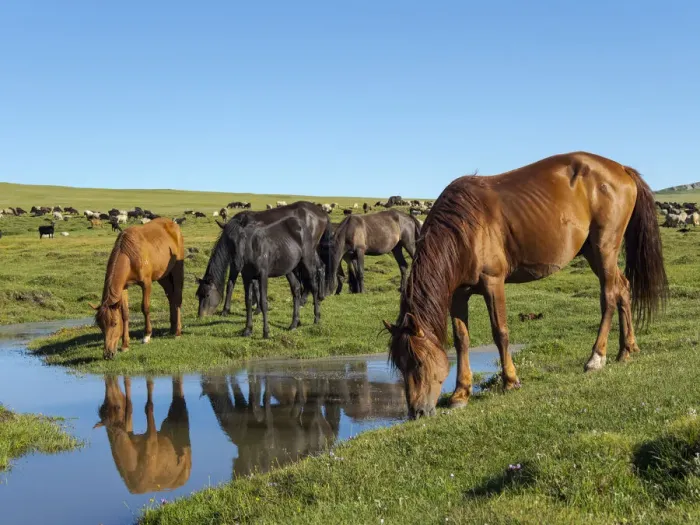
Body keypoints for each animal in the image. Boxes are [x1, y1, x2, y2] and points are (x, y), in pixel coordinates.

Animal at [90, 218, 185, 359]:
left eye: (114, 323)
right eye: (100, 325)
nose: (108, 354)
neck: (129, 256)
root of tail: (173, 224)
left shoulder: (146, 283)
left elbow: (145, 308)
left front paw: (147, 336)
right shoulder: (124, 287)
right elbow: (125, 313)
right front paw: (125, 345)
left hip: (177, 270)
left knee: (177, 297)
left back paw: (177, 332)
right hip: (163, 276)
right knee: (171, 296)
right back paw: (172, 328)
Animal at [196, 201, 333, 318]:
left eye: (207, 295)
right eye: (198, 295)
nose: (201, 315)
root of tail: (322, 213)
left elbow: (252, 285)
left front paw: (253, 308)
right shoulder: (237, 263)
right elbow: (231, 283)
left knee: (313, 271)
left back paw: (305, 300)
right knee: (321, 267)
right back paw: (319, 296)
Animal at [385, 152, 668, 419]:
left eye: (419, 362)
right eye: (400, 364)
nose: (417, 412)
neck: (463, 227)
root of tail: (622, 169)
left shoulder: (493, 282)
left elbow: (500, 332)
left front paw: (510, 381)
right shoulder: (458, 294)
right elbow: (461, 339)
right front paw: (460, 394)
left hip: (604, 249)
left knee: (609, 296)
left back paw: (596, 358)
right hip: (593, 252)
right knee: (623, 288)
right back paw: (627, 349)